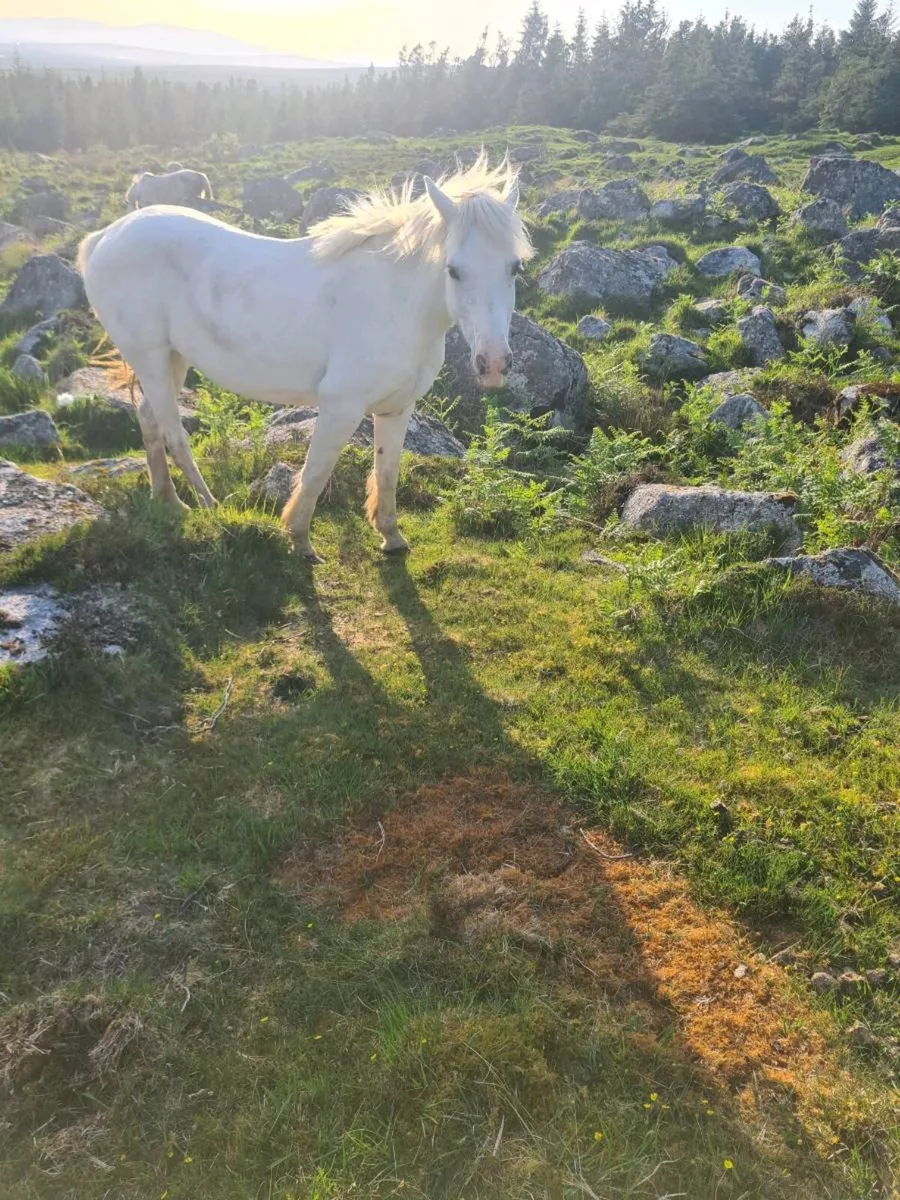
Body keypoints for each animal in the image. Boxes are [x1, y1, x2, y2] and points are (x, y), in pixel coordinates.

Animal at [79, 156, 532, 562]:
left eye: (514, 268)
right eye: (453, 270)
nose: (493, 364)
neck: (394, 302)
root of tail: (105, 236)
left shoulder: (396, 409)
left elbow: (387, 472)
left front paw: (391, 536)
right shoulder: (340, 406)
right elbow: (316, 472)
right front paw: (299, 539)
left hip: (173, 359)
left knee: (149, 419)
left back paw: (168, 501)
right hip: (152, 357)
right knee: (175, 434)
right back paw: (209, 506)